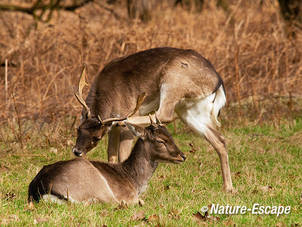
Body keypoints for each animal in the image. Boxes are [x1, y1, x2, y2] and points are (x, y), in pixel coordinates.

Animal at [28, 119, 185, 205]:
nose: (182, 156)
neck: (134, 181)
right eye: (160, 140)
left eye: (170, 135)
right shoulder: (126, 195)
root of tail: (41, 188)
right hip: (97, 185)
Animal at [73, 47, 234, 192]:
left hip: (172, 81)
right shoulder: (111, 129)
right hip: (191, 110)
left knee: (163, 114)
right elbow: (111, 154)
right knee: (219, 139)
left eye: (97, 138)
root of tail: (218, 81)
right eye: (78, 129)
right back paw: (228, 188)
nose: (77, 151)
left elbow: (122, 154)